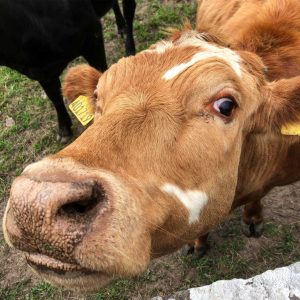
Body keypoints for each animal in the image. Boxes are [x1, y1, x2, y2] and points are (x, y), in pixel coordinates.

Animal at [0, 0, 136, 142]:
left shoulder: (92, 37)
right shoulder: (40, 71)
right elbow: (54, 97)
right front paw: (64, 130)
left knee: (129, 10)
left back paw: (129, 47)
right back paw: (121, 27)